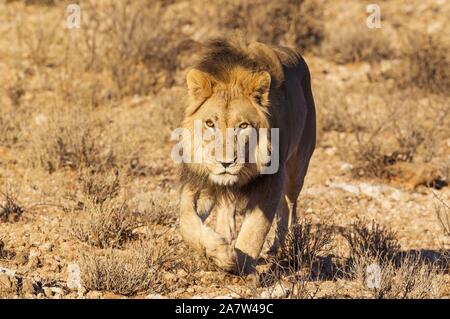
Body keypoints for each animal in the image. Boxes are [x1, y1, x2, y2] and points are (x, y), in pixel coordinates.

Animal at [177, 38, 316, 276]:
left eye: (243, 126)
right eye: (210, 123)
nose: (225, 163)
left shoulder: (271, 179)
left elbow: (254, 230)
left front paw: (237, 262)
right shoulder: (201, 182)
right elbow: (186, 221)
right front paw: (220, 251)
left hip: (297, 169)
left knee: (291, 206)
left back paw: (286, 247)